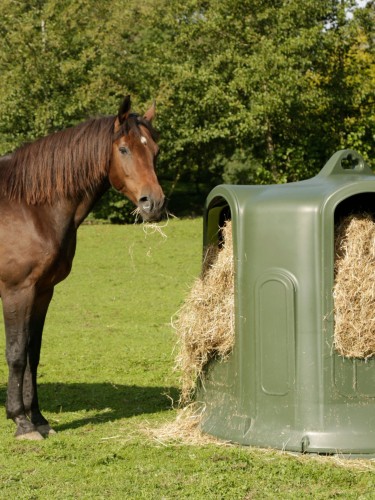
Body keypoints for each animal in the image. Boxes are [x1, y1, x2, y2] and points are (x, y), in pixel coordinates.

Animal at [0, 95, 166, 440]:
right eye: (124, 149)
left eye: (155, 151)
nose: (153, 203)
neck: (29, 207)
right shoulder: (16, 291)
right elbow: (17, 353)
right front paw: (21, 422)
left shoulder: (43, 291)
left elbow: (34, 353)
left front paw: (39, 418)